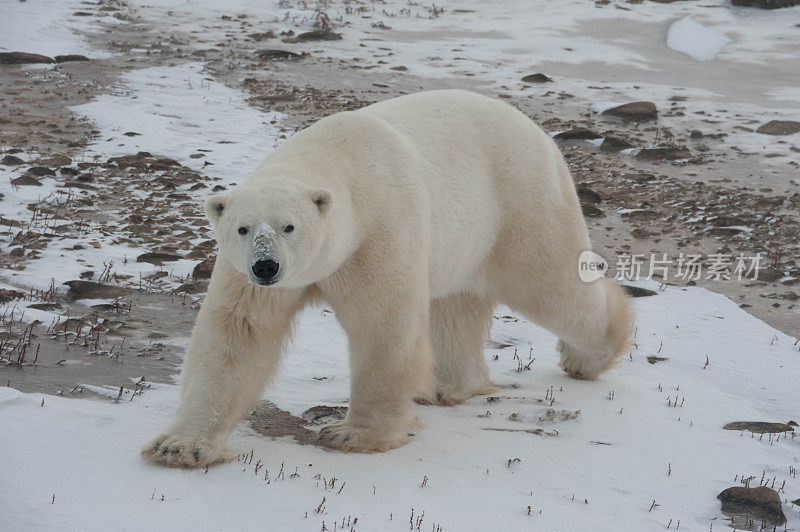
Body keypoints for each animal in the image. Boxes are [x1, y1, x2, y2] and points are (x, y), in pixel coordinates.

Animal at [144, 89, 632, 468]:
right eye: (244, 229)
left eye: (289, 226)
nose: (266, 267)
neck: (336, 158)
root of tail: (537, 132)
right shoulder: (245, 275)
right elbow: (236, 335)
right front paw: (180, 446)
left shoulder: (379, 231)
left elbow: (383, 326)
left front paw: (352, 434)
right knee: (455, 308)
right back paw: (446, 387)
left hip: (519, 202)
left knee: (549, 283)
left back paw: (588, 355)